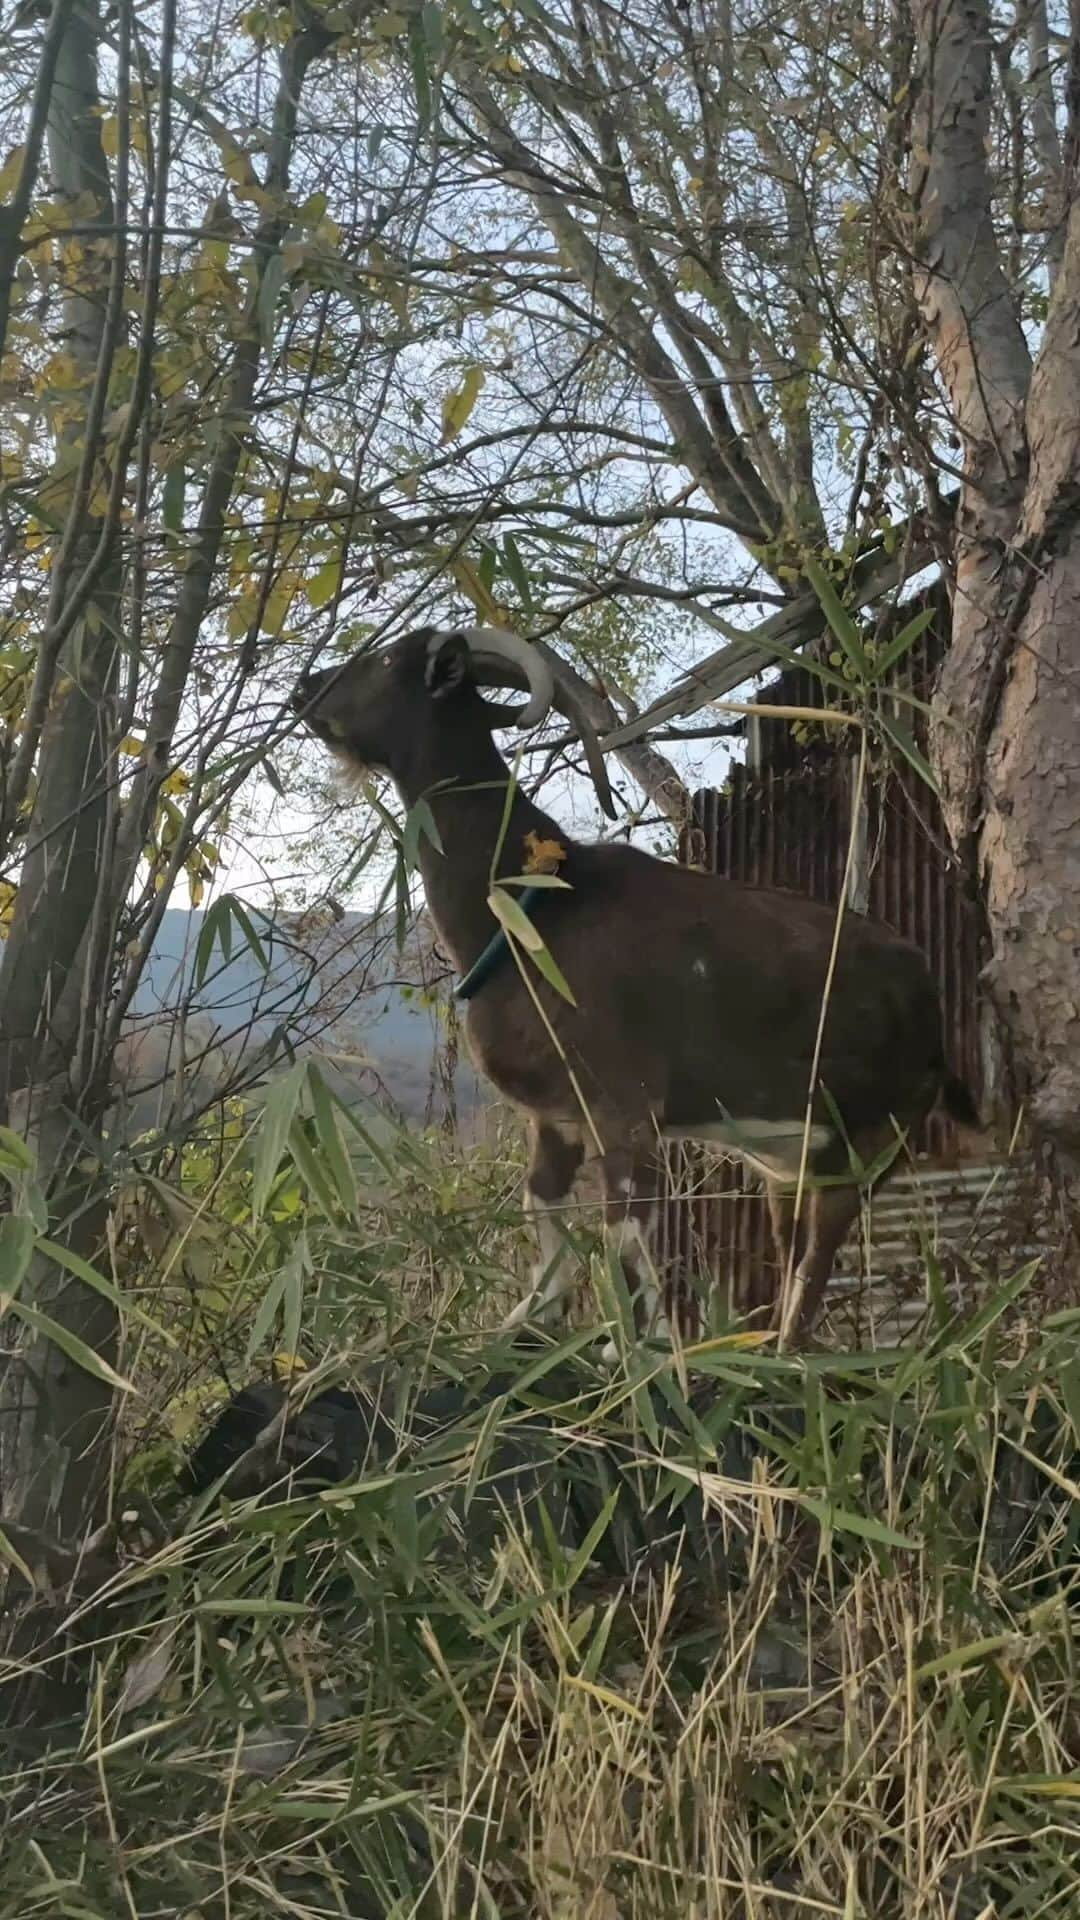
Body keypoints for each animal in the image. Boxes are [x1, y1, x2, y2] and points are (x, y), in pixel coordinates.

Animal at [292, 629, 976, 1351]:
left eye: (387, 660)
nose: (305, 687)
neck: (530, 908)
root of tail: (930, 1000)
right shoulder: (555, 1116)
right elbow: (542, 1202)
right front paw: (535, 1319)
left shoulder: (625, 1109)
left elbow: (626, 1236)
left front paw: (644, 1350)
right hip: (790, 1161)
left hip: (876, 1137)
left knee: (818, 1257)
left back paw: (786, 1356)